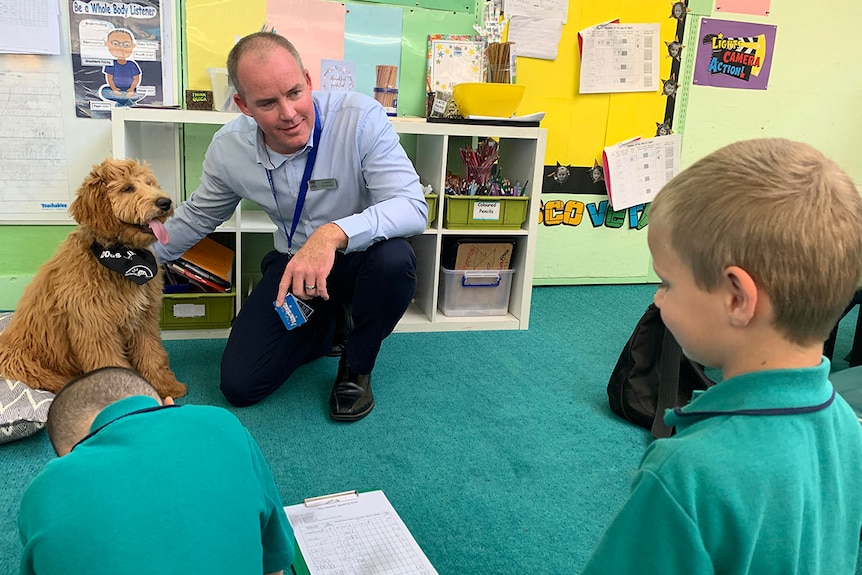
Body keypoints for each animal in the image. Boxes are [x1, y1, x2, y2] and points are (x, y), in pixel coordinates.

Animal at [0, 160, 187, 398]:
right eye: (127, 188)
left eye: (149, 183)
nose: (165, 202)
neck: (122, 258)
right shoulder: (96, 330)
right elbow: (110, 365)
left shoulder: (144, 321)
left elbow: (152, 355)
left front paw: (167, 385)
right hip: (26, 364)